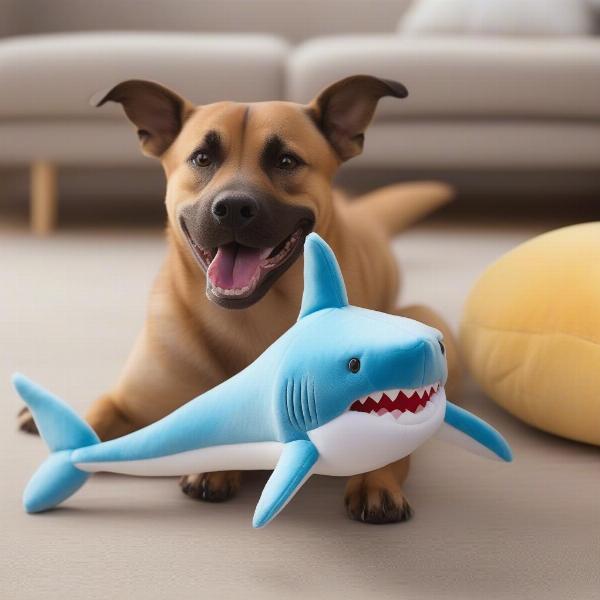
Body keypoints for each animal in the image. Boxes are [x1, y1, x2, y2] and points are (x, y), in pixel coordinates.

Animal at [18, 75, 460, 524]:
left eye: (286, 161)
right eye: (201, 158)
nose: (232, 208)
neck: (245, 320)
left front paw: (376, 481)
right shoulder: (127, 401)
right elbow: (98, 415)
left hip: (425, 316)